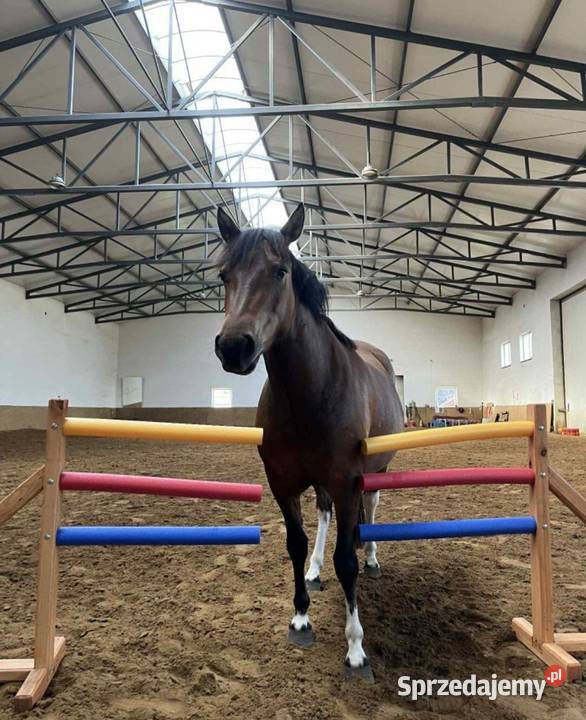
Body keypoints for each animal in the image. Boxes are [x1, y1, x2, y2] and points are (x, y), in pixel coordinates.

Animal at [214, 203, 404, 678]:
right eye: (224, 275)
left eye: (280, 272)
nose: (233, 347)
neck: (310, 391)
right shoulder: (283, 484)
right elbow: (296, 544)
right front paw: (300, 617)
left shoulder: (348, 481)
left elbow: (347, 560)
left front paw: (356, 648)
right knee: (323, 515)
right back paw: (318, 570)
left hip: (376, 472)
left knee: (370, 511)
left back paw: (372, 557)